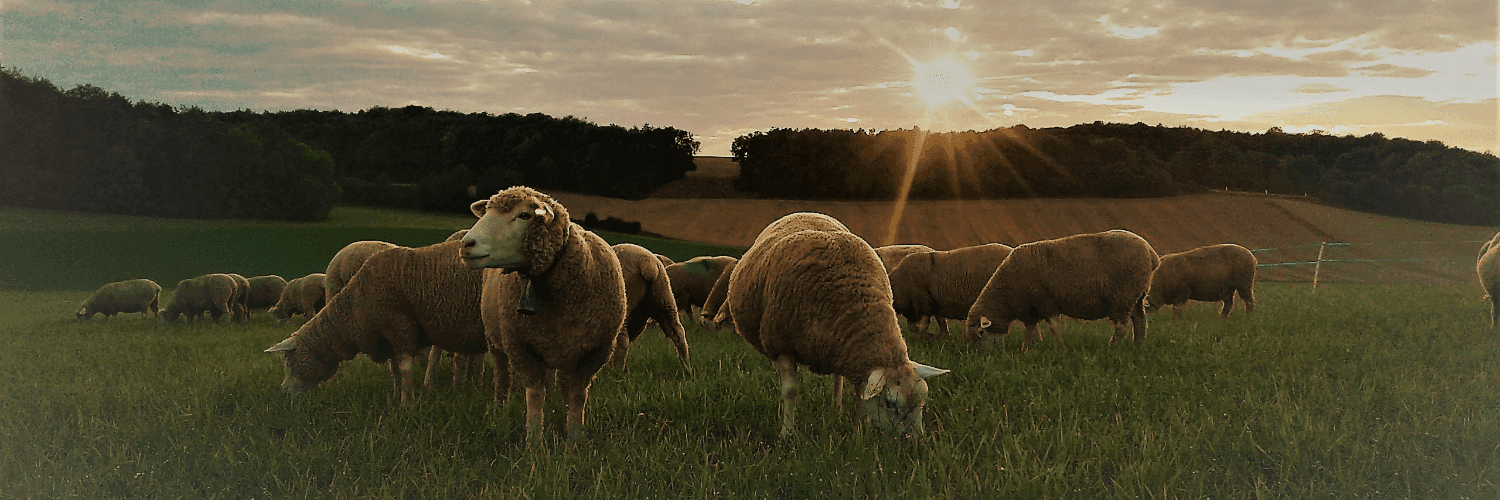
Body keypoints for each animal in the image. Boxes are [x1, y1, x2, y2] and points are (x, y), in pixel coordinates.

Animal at [264, 239, 488, 407]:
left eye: (289, 363)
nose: (283, 394)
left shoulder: (401, 327)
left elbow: (405, 370)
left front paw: (407, 405)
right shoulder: (387, 335)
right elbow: (396, 370)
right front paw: (396, 396)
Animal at [458, 186, 627, 442]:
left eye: (524, 215)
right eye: (486, 212)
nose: (466, 244)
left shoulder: (595, 351)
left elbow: (577, 396)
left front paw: (574, 439)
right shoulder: (521, 346)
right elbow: (536, 394)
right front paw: (534, 441)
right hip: (497, 341)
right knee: (503, 379)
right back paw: (499, 414)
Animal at [609, 243, 690, 371]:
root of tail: (647, 263)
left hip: (625, 303)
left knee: (622, 339)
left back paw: (616, 370)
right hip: (663, 297)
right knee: (678, 333)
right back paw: (687, 370)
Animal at [712, 212, 949, 438]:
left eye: (922, 401)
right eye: (890, 403)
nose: (914, 442)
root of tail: (804, 212)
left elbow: (860, 395)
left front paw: (859, 430)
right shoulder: (783, 347)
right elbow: (790, 392)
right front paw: (787, 433)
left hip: (837, 346)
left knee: (838, 378)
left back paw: (836, 407)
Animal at [965, 229, 1161, 351]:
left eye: (981, 332)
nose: (985, 356)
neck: (1006, 294)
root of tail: (1151, 253)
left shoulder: (1044, 300)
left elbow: (1053, 327)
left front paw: (1061, 348)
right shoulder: (1030, 307)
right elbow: (1030, 329)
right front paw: (1026, 349)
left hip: (1123, 296)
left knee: (1122, 326)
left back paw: (1112, 348)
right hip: (1137, 295)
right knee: (1140, 321)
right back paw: (1138, 346)